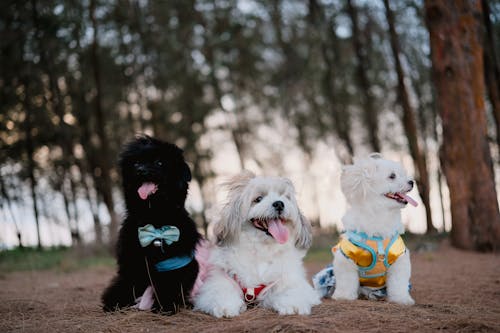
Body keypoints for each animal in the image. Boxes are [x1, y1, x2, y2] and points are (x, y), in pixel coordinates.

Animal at [101, 134, 199, 312]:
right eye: (136, 163)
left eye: (159, 162)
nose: (140, 170)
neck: (154, 219)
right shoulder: (131, 266)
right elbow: (125, 286)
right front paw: (114, 303)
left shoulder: (174, 265)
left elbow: (170, 286)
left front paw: (166, 306)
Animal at [193, 171, 318, 316]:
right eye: (258, 199)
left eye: (285, 197)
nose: (279, 204)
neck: (262, 249)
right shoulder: (220, 278)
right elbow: (219, 291)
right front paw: (226, 306)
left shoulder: (290, 280)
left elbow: (293, 291)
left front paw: (292, 304)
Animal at [332, 153, 418, 304]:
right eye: (392, 176)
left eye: (403, 174)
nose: (412, 182)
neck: (380, 215)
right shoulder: (346, 258)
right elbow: (346, 281)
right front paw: (344, 296)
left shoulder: (400, 259)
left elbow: (399, 284)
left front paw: (402, 299)